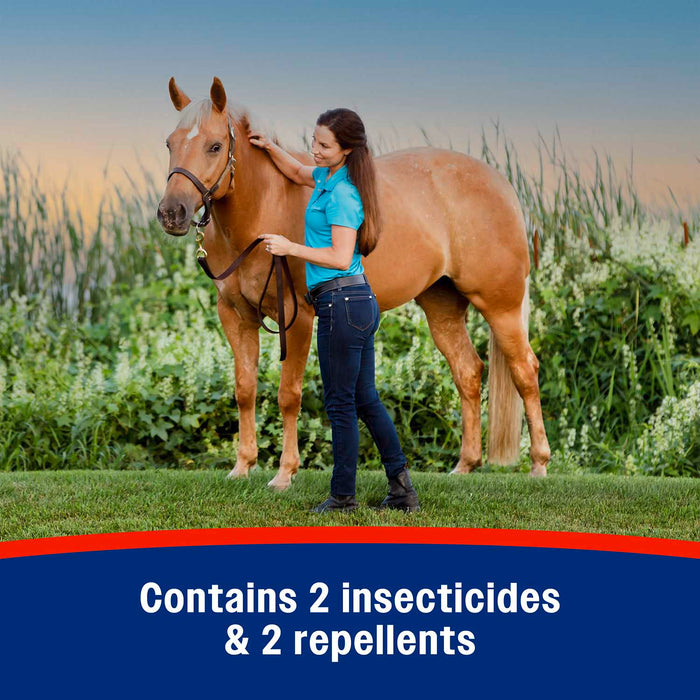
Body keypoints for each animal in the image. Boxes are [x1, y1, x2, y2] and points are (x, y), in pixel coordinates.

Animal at [157, 76, 550, 491]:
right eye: (170, 143)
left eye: (215, 146)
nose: (171, 213)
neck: (264, 208)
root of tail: (502, 185)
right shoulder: (235, 315)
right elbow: (244, 389)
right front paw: (242, 466)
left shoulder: (297, 317)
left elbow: (288, 395)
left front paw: (284, 473)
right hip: (442, 305)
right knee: (468, 372)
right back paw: (465, 465)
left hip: (500, 305)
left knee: (525, 371)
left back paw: (539, 464)